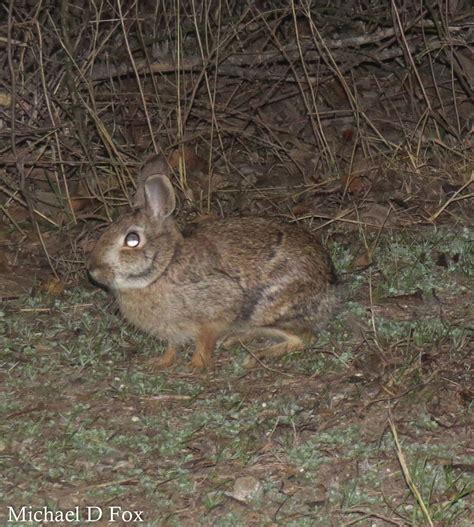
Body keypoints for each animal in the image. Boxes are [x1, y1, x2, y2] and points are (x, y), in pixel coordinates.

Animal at [85, 155, 336, 370]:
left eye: (132, 240)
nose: (93, 270)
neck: (164, 267)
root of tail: (330, 282)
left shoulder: (214, 313)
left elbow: (204, 341)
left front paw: (196, 365)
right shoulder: (172, 330)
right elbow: (172, 347)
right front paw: (160, 362)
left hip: (269, 308)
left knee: (304, 337)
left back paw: (258, 355)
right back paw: (234, 339)